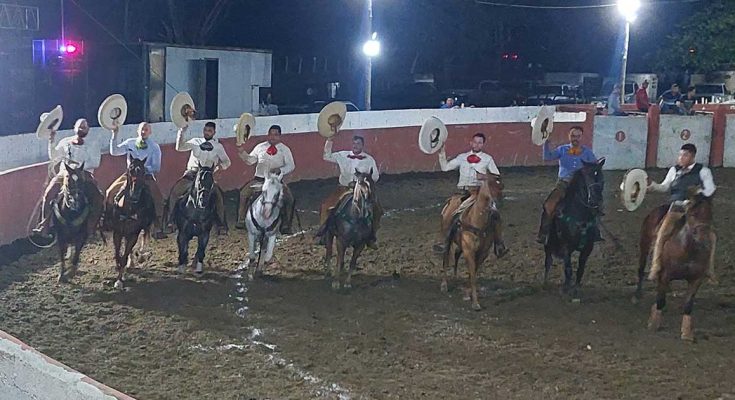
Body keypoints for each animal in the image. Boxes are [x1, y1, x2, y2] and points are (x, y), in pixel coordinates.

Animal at [104, 155, 156, 290]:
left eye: (143, 172)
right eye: (130, 170)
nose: (135, 194)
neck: (129, 209)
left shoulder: (133, 234)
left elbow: (124, 255)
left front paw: (119, 280)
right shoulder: (117, 233)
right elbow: (118, 254)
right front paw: (119, 271)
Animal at [436, 174, 506, 310]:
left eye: (501, 186)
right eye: (490, 184)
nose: (496, 206)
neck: (477, 221)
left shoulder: (482, 253)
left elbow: (473, 272)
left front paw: (467, 294)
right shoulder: (469, 251)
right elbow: (473, 275)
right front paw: (475, 303)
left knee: (456, 254)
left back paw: (455, 277)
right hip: (447, 239)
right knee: (446, 258)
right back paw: (444, 285)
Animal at [544, 159, 608, 300]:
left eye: (602, 179)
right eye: (587, 178)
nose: (596, 200)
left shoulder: (587, 248)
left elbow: (580, 269)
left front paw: (576, 288)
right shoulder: (566, 246)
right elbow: (568, 269)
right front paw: (566, 289)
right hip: (548, 244)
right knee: (548, 261)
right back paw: (544, 282)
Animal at [636, 192, 716, 342]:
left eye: (710, 214)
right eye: (693, 214)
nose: (704, 238)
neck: (687, 250)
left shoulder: (696, 279)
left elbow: (688, 304)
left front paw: (687, 333)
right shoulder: (665, 274)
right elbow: (661, 300)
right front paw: (654, 323)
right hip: (644, 246)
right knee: (641, 270)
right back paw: (637, 296)